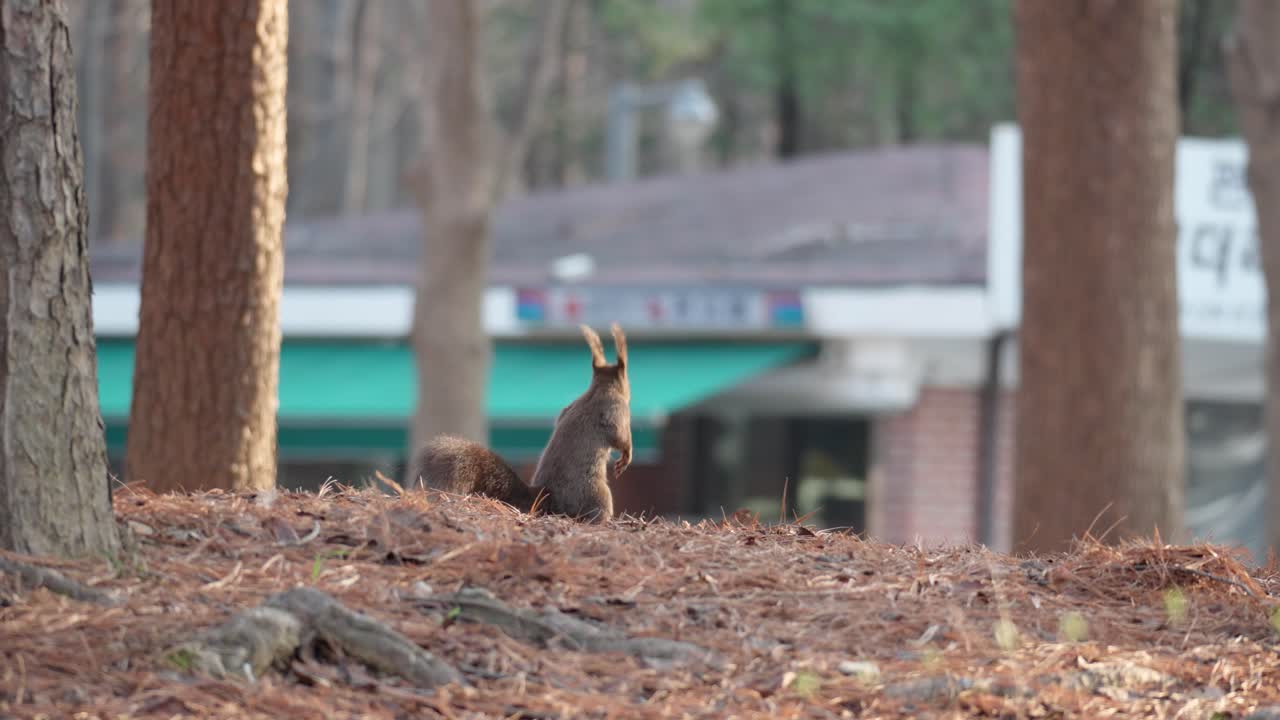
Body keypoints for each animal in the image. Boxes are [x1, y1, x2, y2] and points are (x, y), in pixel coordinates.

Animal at [409, 323, 632, 523]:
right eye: (627, 377)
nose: (630, 391)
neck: (599, 389)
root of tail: (547, 500)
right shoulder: (615, 410)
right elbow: (620, 436)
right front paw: (626, 457)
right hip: (598, 493)